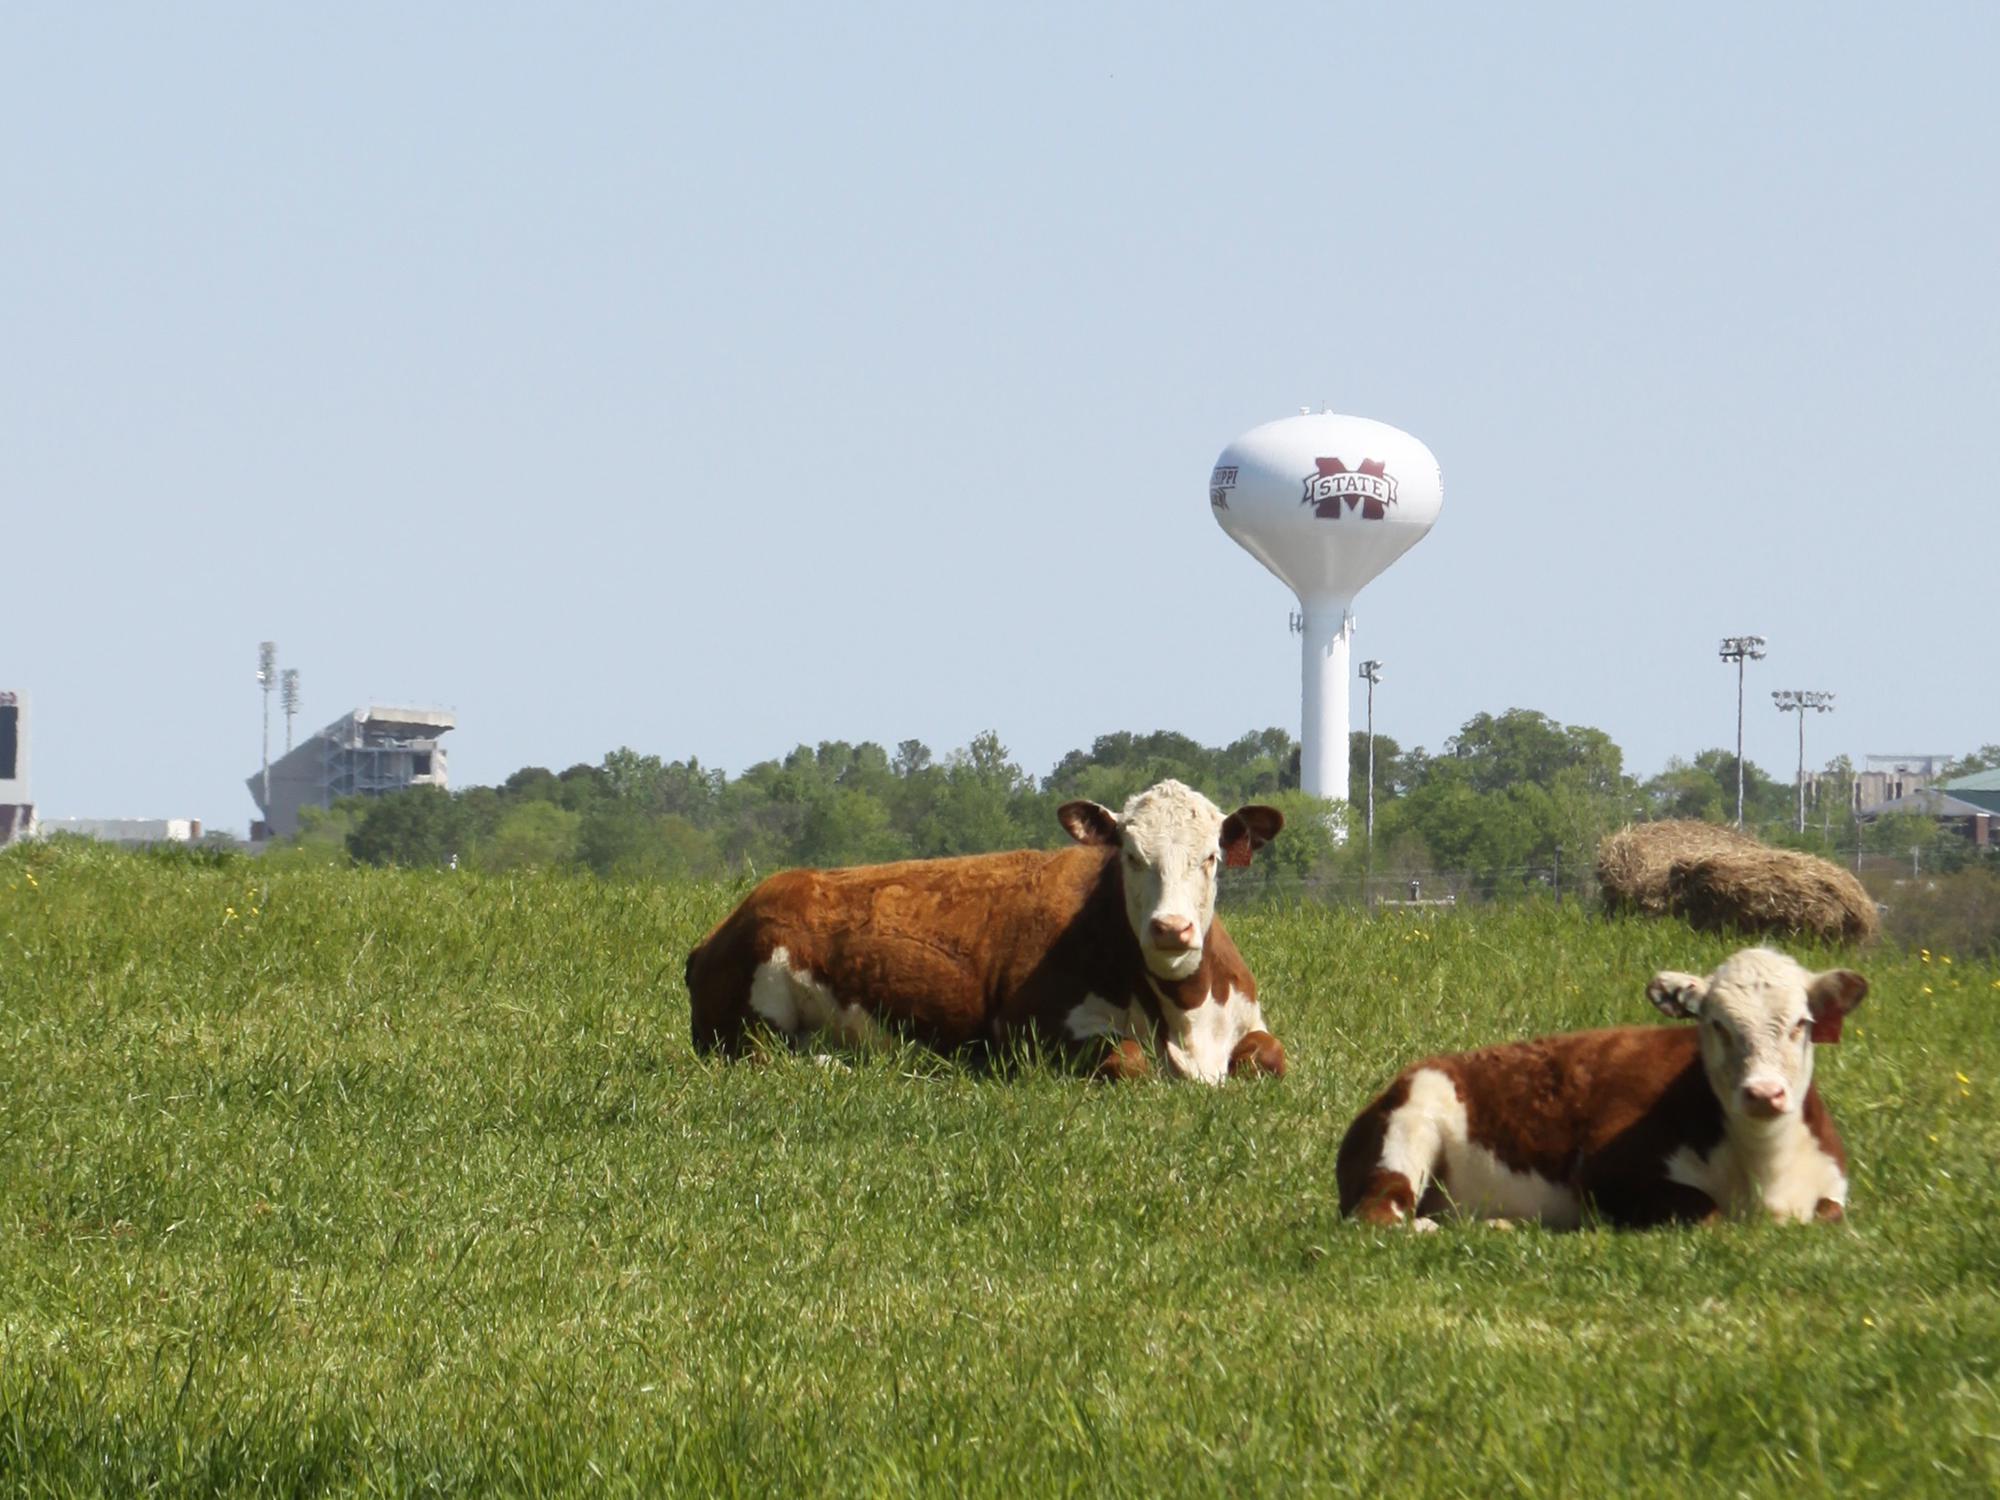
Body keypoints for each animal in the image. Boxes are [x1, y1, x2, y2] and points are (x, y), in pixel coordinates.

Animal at [684, 780, 1280, 1088]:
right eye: (1132, 856)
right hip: (750, 1019)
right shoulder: (1028, 1029)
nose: (1171, 928)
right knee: (769, 1057)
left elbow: (1270, 1056)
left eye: (1210, 858)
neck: (1185, 1020)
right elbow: (1129, 1059)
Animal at [1336, 952, 1864, 1232]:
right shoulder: (1603, 1174)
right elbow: (1706, 1211)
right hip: (1412, 1123)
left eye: (1802, 1024)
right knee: (1379, 1212)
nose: (1763, 1093)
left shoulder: (1832, 1188)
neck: (1763, 1170)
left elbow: (1830, 1213)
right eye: (1717, 1023)